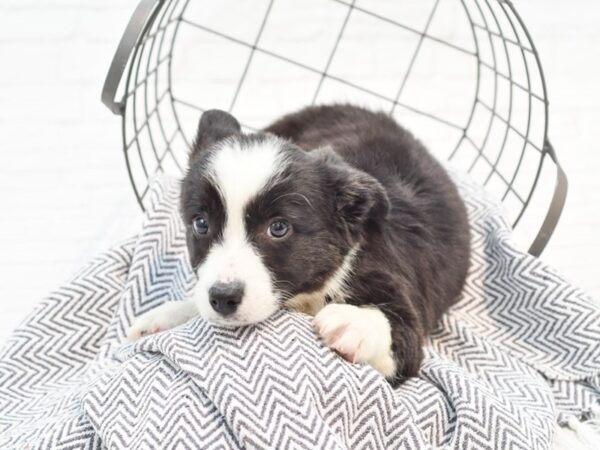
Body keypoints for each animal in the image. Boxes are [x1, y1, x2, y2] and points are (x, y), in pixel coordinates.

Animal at [129, 103, 472, 384]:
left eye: (278, 228)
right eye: (201, 223)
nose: (223, 298)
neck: (305, 296)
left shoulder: (406, 317)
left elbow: (396, 328)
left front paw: (353, 322)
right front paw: (164, 318)